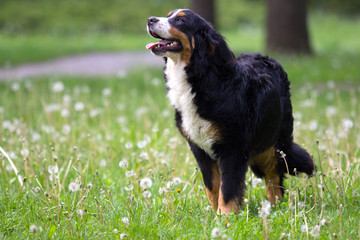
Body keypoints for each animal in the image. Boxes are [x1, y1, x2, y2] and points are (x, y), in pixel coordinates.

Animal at [146, 8, 316, 214]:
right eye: (168, 14)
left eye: (180, 20)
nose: (150, 19)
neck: (200, 78)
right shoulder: (199, 148)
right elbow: (212, 186)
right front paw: (214, 214)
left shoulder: (233, 148)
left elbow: (228, 188)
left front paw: (226, 216)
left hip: (271, 142)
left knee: (274, 175)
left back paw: (277, 206)